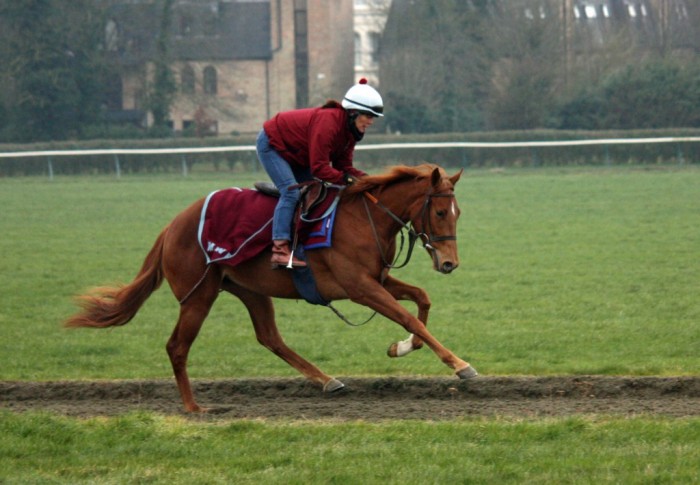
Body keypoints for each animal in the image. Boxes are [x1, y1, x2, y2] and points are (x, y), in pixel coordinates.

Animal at [65, 164, 478, 412]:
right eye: (440, 211)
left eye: (458, 213)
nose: (449, 263)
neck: (366, 218)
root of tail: (172, 225)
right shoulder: (359, 287)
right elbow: (411, 317)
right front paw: (461, 365)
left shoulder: (378, 280)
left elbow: (421, 301)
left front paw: (402, 348)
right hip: (198, 294)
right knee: (177, 346)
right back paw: (193, 407)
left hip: (251, 290)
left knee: (270, 338)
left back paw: (327, 381)